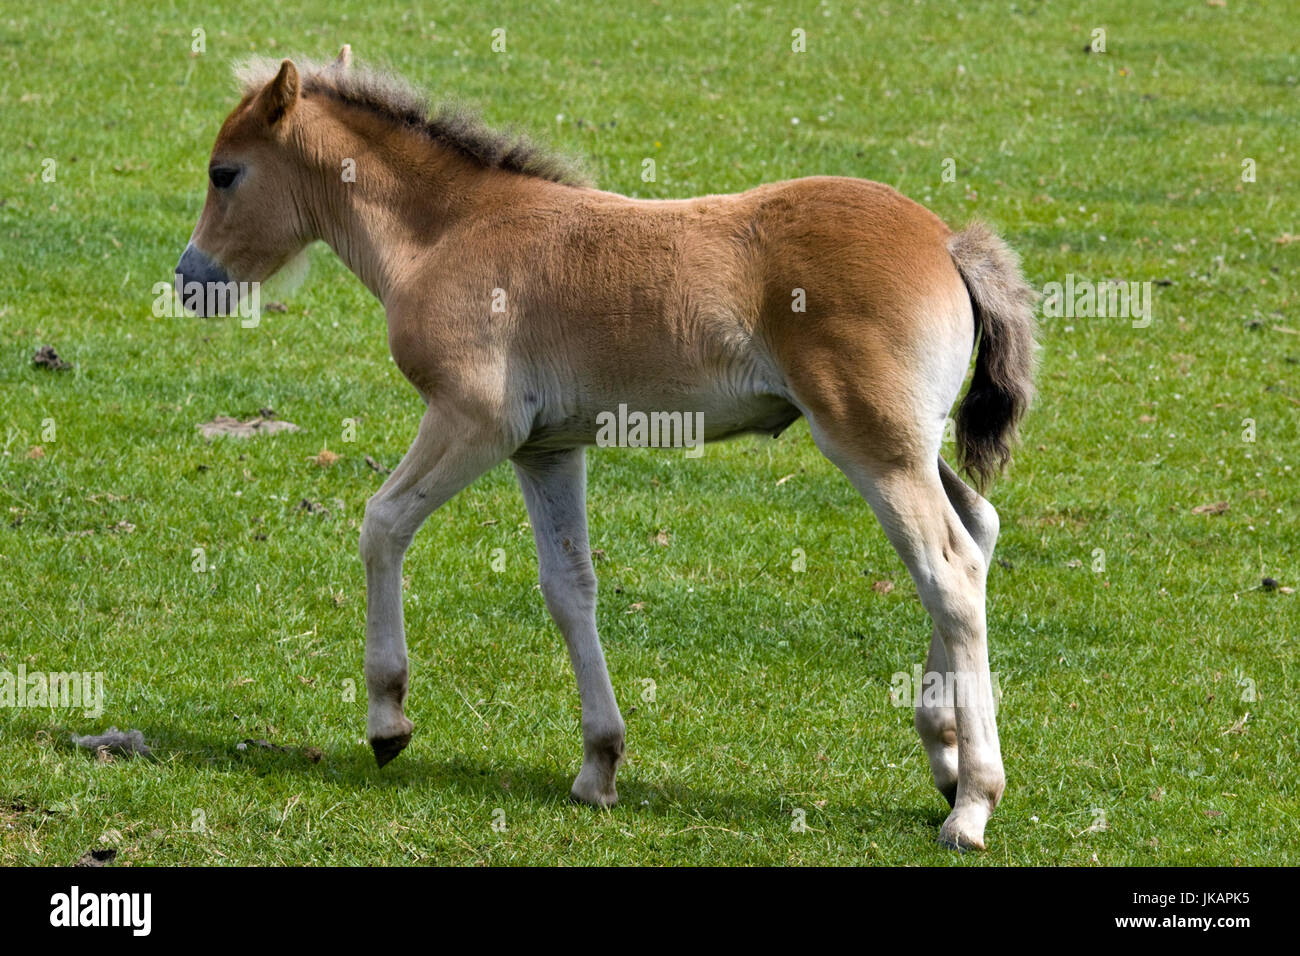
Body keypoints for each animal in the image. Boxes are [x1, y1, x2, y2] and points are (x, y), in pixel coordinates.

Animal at [180, 48, 1034, 848]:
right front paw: (599, 764)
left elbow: (382, 524)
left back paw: (973, 803)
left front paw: (388, 720)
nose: (191, 279)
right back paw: (942, 752)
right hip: (909, 441)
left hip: (871, 443)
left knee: (948, 571)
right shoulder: (545, 449)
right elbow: (570, 587)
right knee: (979, 528)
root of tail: (949, 243)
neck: (445, 232)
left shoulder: (473, 422)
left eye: (225, 173)